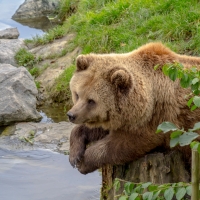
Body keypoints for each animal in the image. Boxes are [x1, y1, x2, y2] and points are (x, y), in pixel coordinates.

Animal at [67, 42, 200, 173]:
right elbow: (97, 128)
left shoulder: (157, 119)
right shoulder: (120, 119)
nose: (71, 115)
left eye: (91, 101)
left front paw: (84, 162)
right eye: (77, 94)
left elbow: (124, 144)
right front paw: (75, 155)